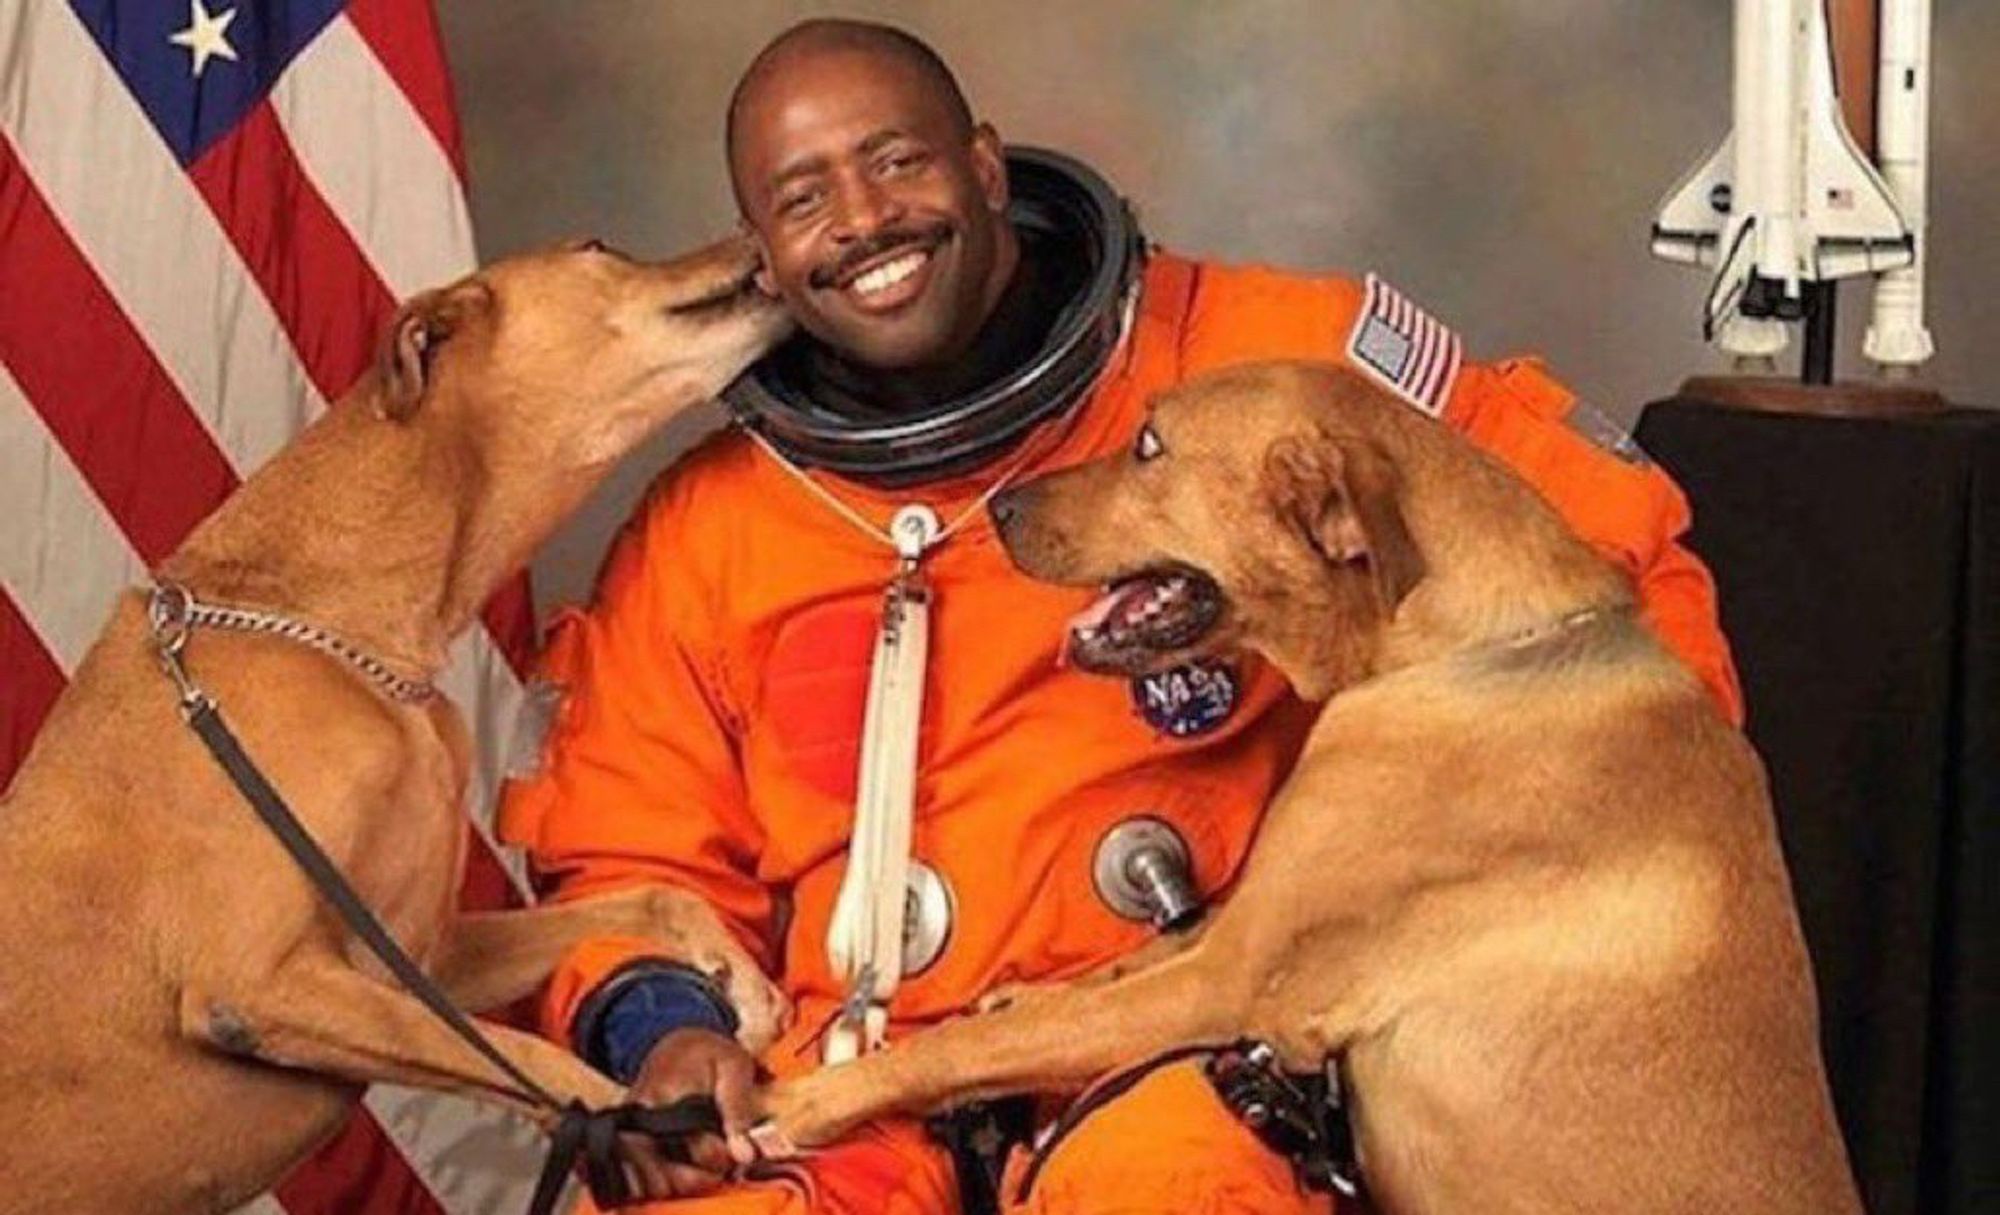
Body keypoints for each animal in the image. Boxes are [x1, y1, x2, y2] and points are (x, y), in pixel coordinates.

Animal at [1, 232, 796, 1207]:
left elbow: (652, 893)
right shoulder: (260, 983)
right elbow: (541, 1065)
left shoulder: (428, 956)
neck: (342, 630)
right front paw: (643, 1121)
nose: (756, 236)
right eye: (597, 248)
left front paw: (739, 981)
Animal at [760, 363, 1856, 1215]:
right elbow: (1109, 969)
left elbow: (1006, 1036)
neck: (1458, 646)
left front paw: (816, 1099)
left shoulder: (1233, 980)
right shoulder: (1235, 925)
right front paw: (1016, 996)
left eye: (1150, 445)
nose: (995, 506)